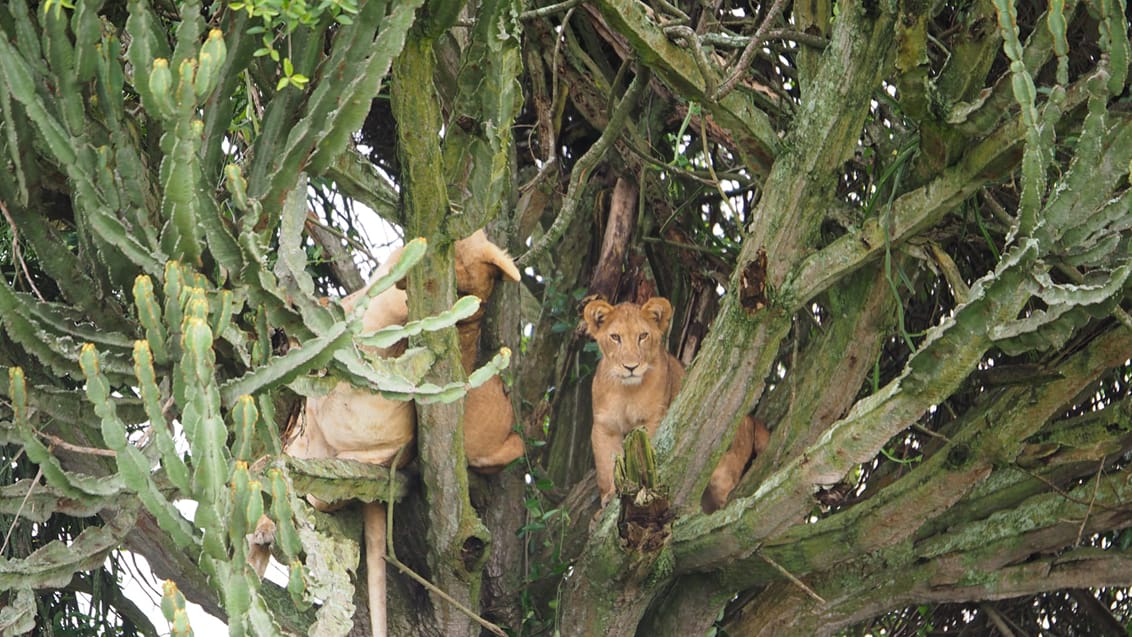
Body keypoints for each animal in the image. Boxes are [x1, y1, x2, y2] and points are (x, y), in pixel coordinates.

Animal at [584, 298, 769, 513]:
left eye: (643, 336)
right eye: (615, 337)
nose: (631, 367)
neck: (626, 391)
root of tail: (751, 418)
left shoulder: (654, 419)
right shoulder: (605, 427)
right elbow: (606, 466)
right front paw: (607, 499)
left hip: (724, 472)